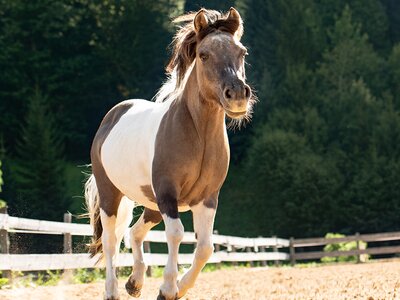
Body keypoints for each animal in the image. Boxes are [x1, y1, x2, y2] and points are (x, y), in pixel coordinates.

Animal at [85, 7, 255, 300]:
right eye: (203, 54)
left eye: (241, 51)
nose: (236, 96)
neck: (198, 136)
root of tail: (111, 117)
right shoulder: (167, 194)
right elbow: (176, 234)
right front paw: (167, 288)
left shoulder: (207, 199)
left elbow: (206, 247)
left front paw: (178, 287)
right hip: (111, 195)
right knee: (110, 241)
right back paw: (112, 290)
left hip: (151, 204)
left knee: (134, 233)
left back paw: (135, 283)